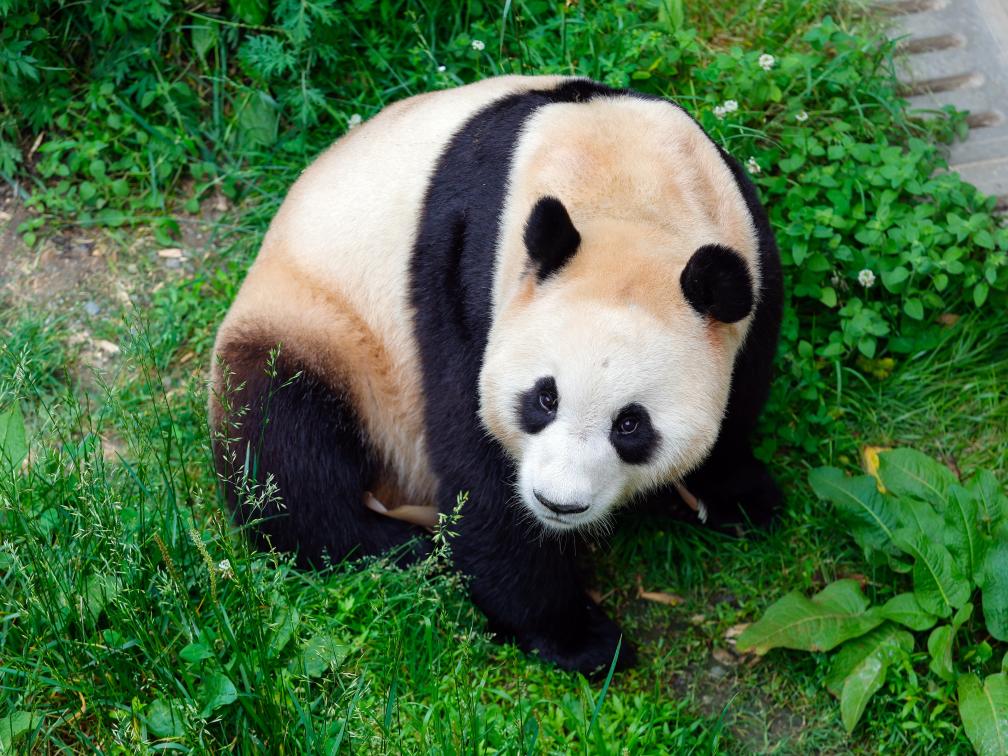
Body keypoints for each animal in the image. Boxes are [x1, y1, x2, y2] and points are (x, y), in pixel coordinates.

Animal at [209, 75, 783, 674]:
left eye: (631, 425)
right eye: (543, 399)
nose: (558, 504)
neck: (627, 188)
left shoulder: (753, 265)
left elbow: (740, 398)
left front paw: (740, 497)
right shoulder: (467, 274)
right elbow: (475, 457)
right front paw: (578, 637)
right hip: (321, 326)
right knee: (281, 442)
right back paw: (400, 549)